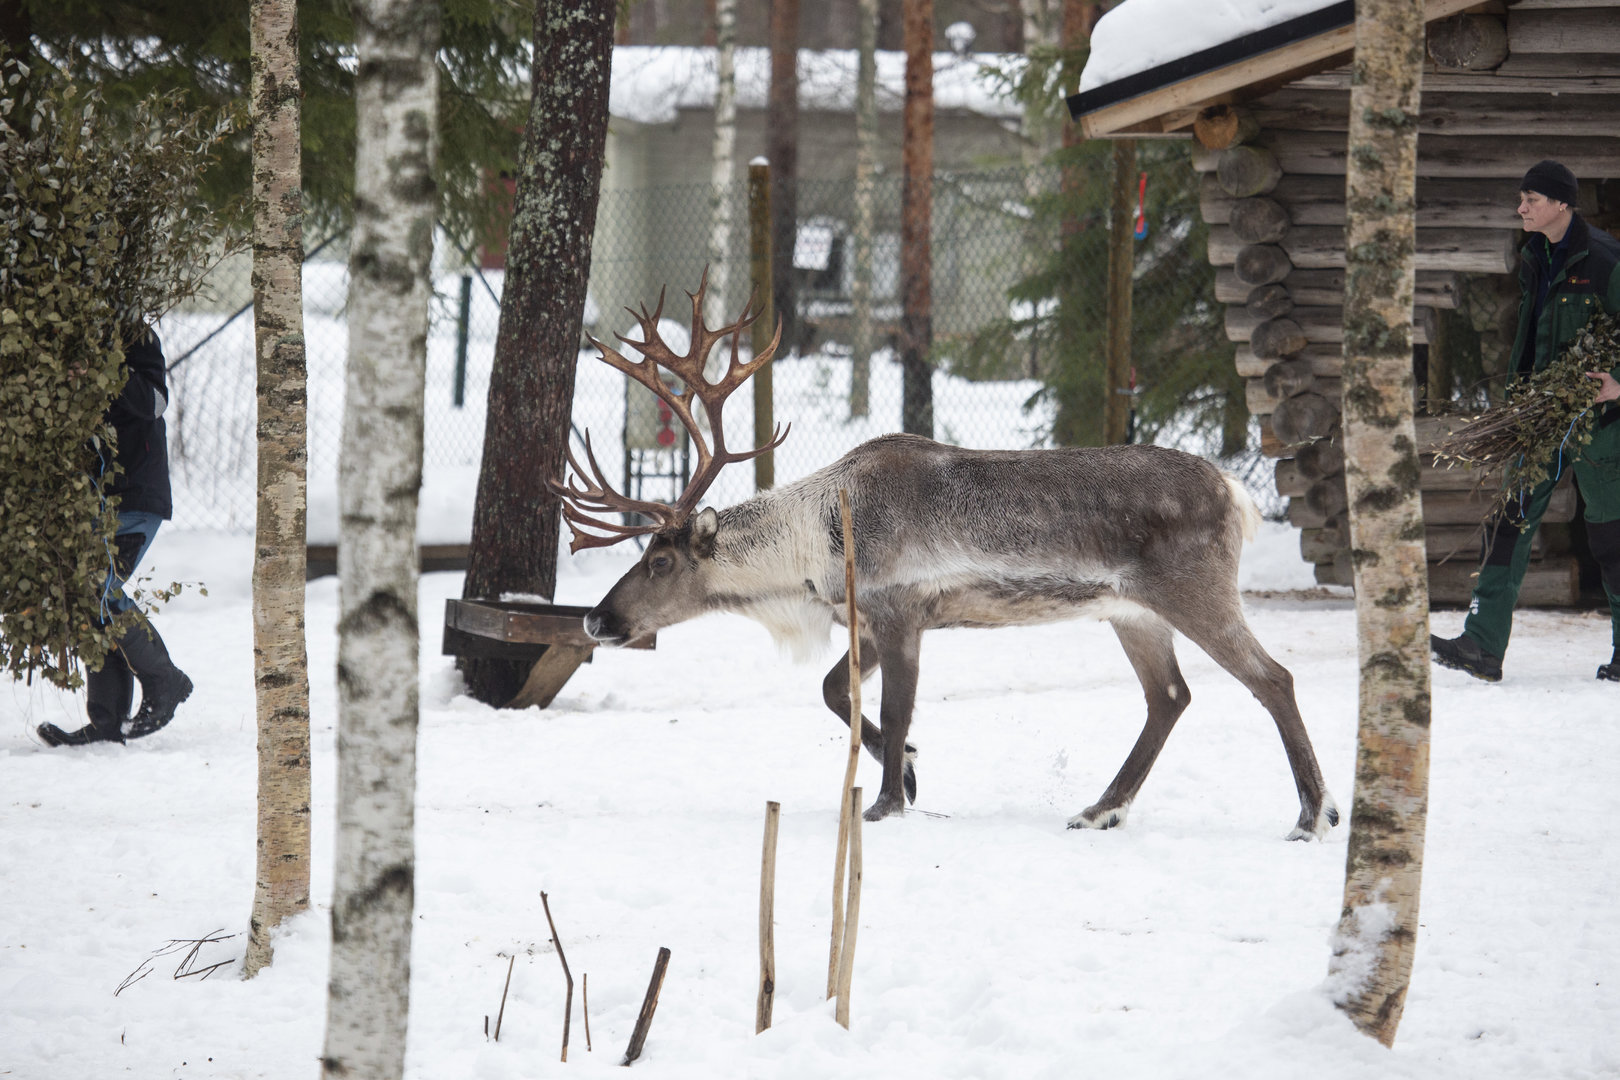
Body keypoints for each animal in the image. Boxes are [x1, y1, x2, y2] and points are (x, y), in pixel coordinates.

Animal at [551, 277, 1340, 840]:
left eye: (660, 562)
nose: (594, 620)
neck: (816, 547)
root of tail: (1235, 491)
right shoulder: (868, 617)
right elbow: (835, 691)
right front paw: (907, 771)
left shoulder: (902, 612)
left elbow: (893, 708)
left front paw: (886, 803)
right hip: (1131, 613)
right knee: (1169, 697)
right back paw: (1099, 810)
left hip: (1196, 591)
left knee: (1272, 678)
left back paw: (1314, 815)